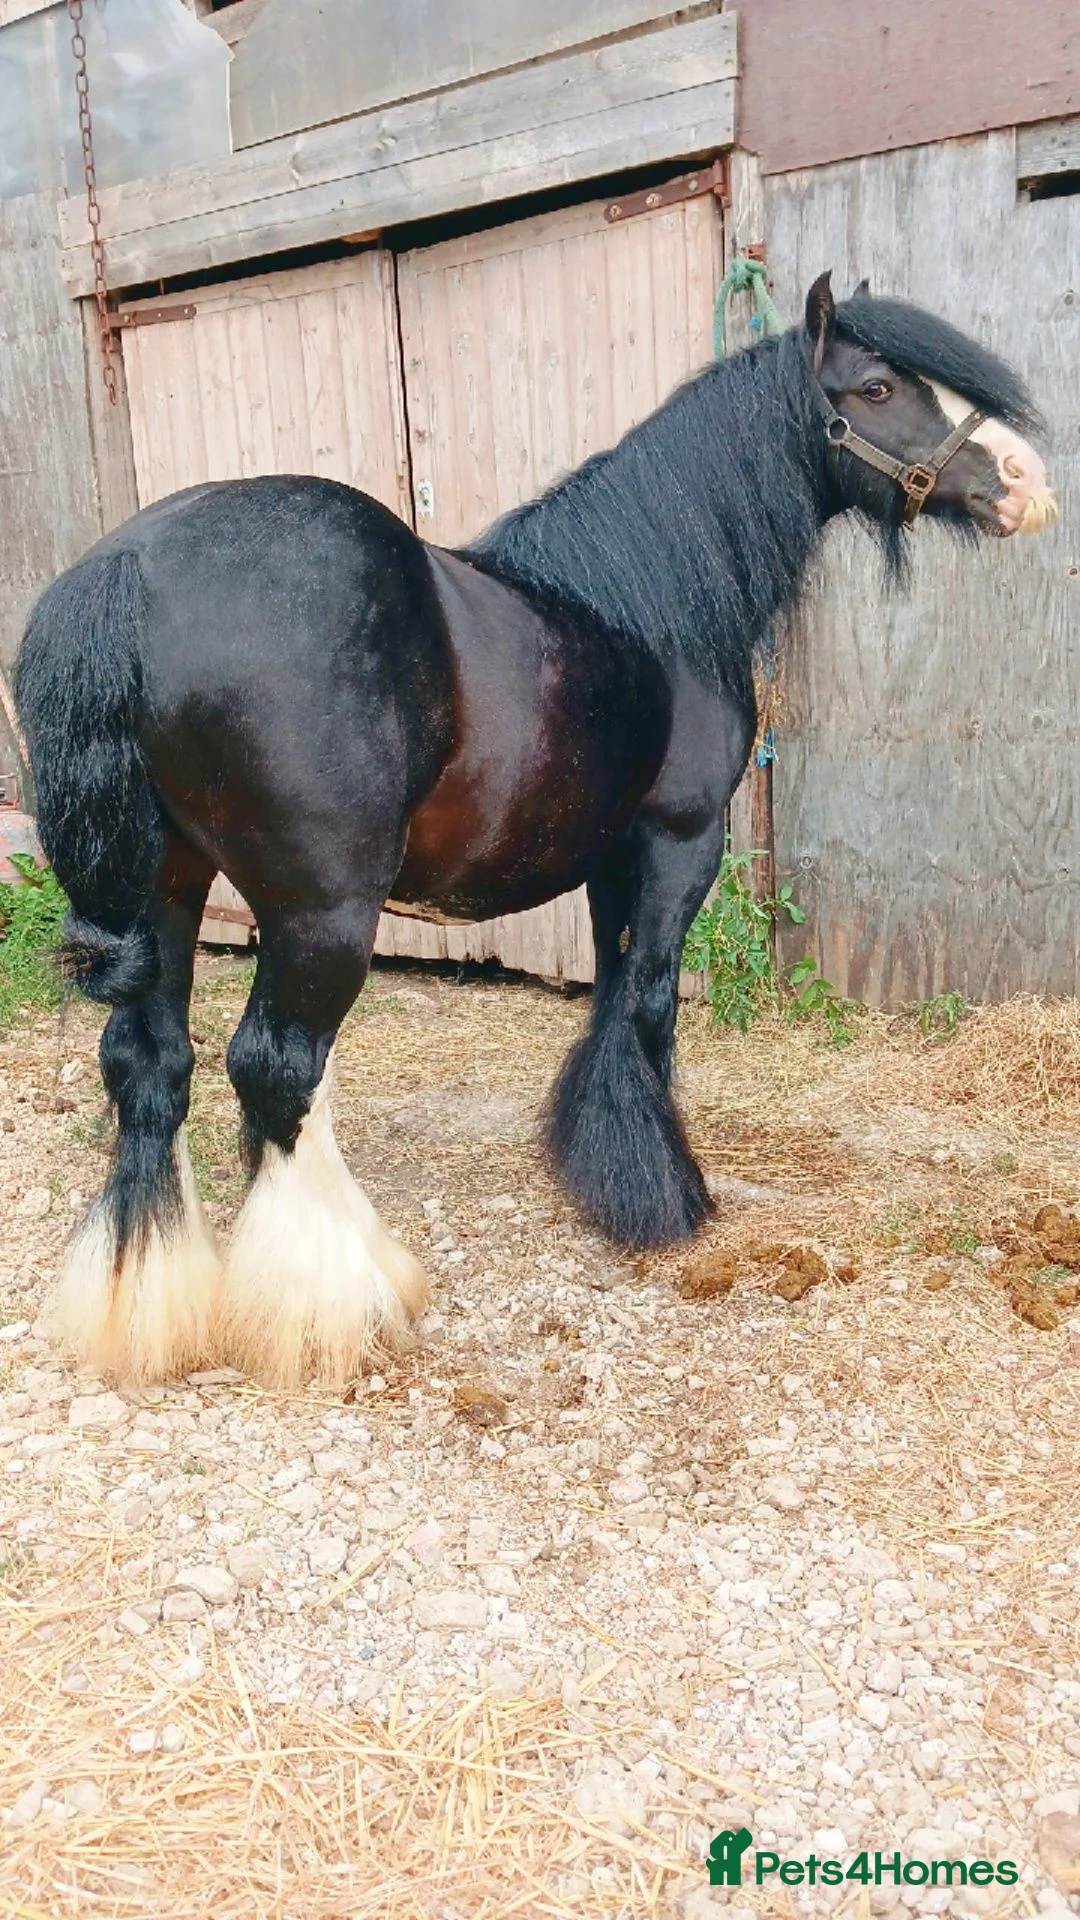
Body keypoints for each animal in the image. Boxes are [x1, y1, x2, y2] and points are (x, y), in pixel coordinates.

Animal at [15, 271, 1056, 1389]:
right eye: (876, 387)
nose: (1026, 480)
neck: (649, 605)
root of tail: (127, 576)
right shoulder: (681, 843)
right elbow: (650, 1008)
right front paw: (665, 1194)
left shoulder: (608, 859)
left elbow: (606, 996)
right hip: (321, 912)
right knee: (277, 1068)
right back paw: (341, 1305)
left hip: (164, 889)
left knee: (149, 1064)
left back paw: (144, 1306)